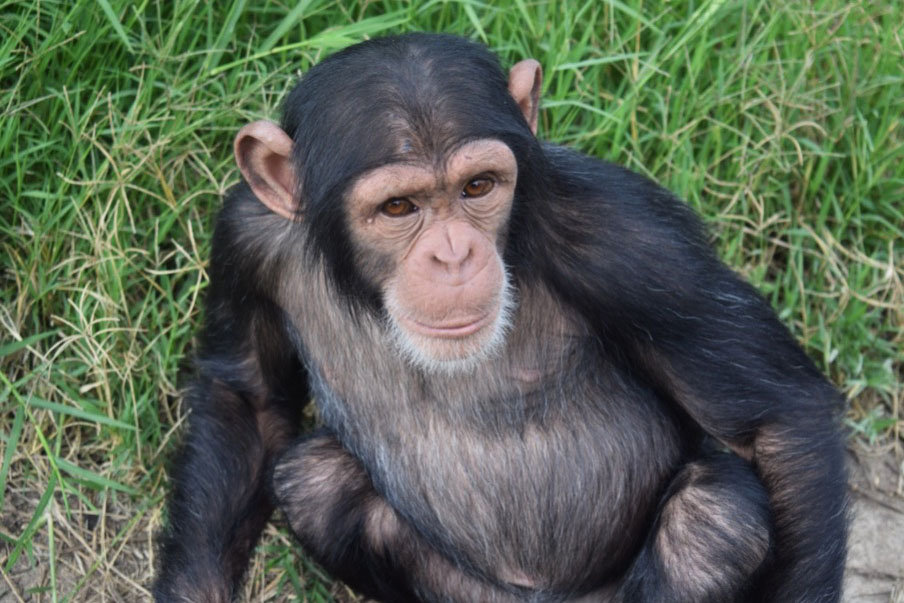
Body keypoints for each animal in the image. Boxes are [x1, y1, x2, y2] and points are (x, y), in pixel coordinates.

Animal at [154, 33, 848, 603]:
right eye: (398, 206)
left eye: (479, 187)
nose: (454, 254)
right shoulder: (245, 235)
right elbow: (247, 396)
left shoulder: (628, 234)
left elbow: (779, 417)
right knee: (315, 478)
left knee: (714, 521)